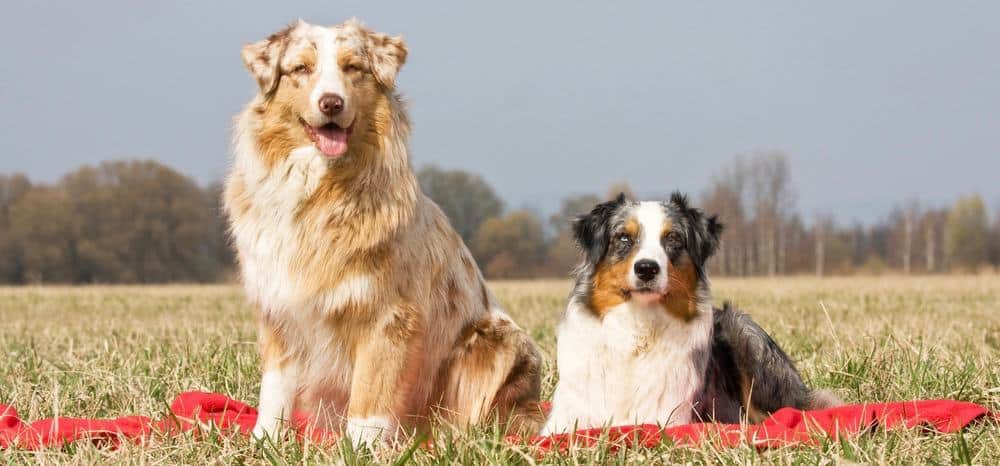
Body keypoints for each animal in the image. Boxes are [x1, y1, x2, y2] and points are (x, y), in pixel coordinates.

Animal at [224, 20, 544, 446]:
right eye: (300, 69)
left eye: (353, 68)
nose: (331, 103)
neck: (319, 191)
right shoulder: (279, 308)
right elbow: (275, 390)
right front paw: (265, 442)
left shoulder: (387, 317)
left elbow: (370, 396)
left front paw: (360, 448)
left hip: (499, 342)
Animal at [540, 193, 836, 434]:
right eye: (624, 238)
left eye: (673, 239)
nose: (646, 268)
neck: (637, 327)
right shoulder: (568, 417)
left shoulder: (667, 416)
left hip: (745, 331)